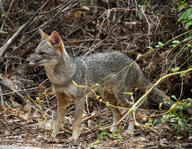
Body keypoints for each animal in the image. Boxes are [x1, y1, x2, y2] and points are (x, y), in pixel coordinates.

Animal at [26, 28, 172, 141]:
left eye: (42, 53)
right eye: (35, 52)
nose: (27, 61)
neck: (61, 78)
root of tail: (133, 62)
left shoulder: (79, 99)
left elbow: (76, 121)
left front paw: (74, 137)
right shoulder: (61, 101)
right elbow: (57, 122)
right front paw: (53, 136)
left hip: (121, 97)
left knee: (133, 108)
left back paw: (130, 132)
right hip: (108, 98)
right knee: (119, 114)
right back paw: (113, 131)